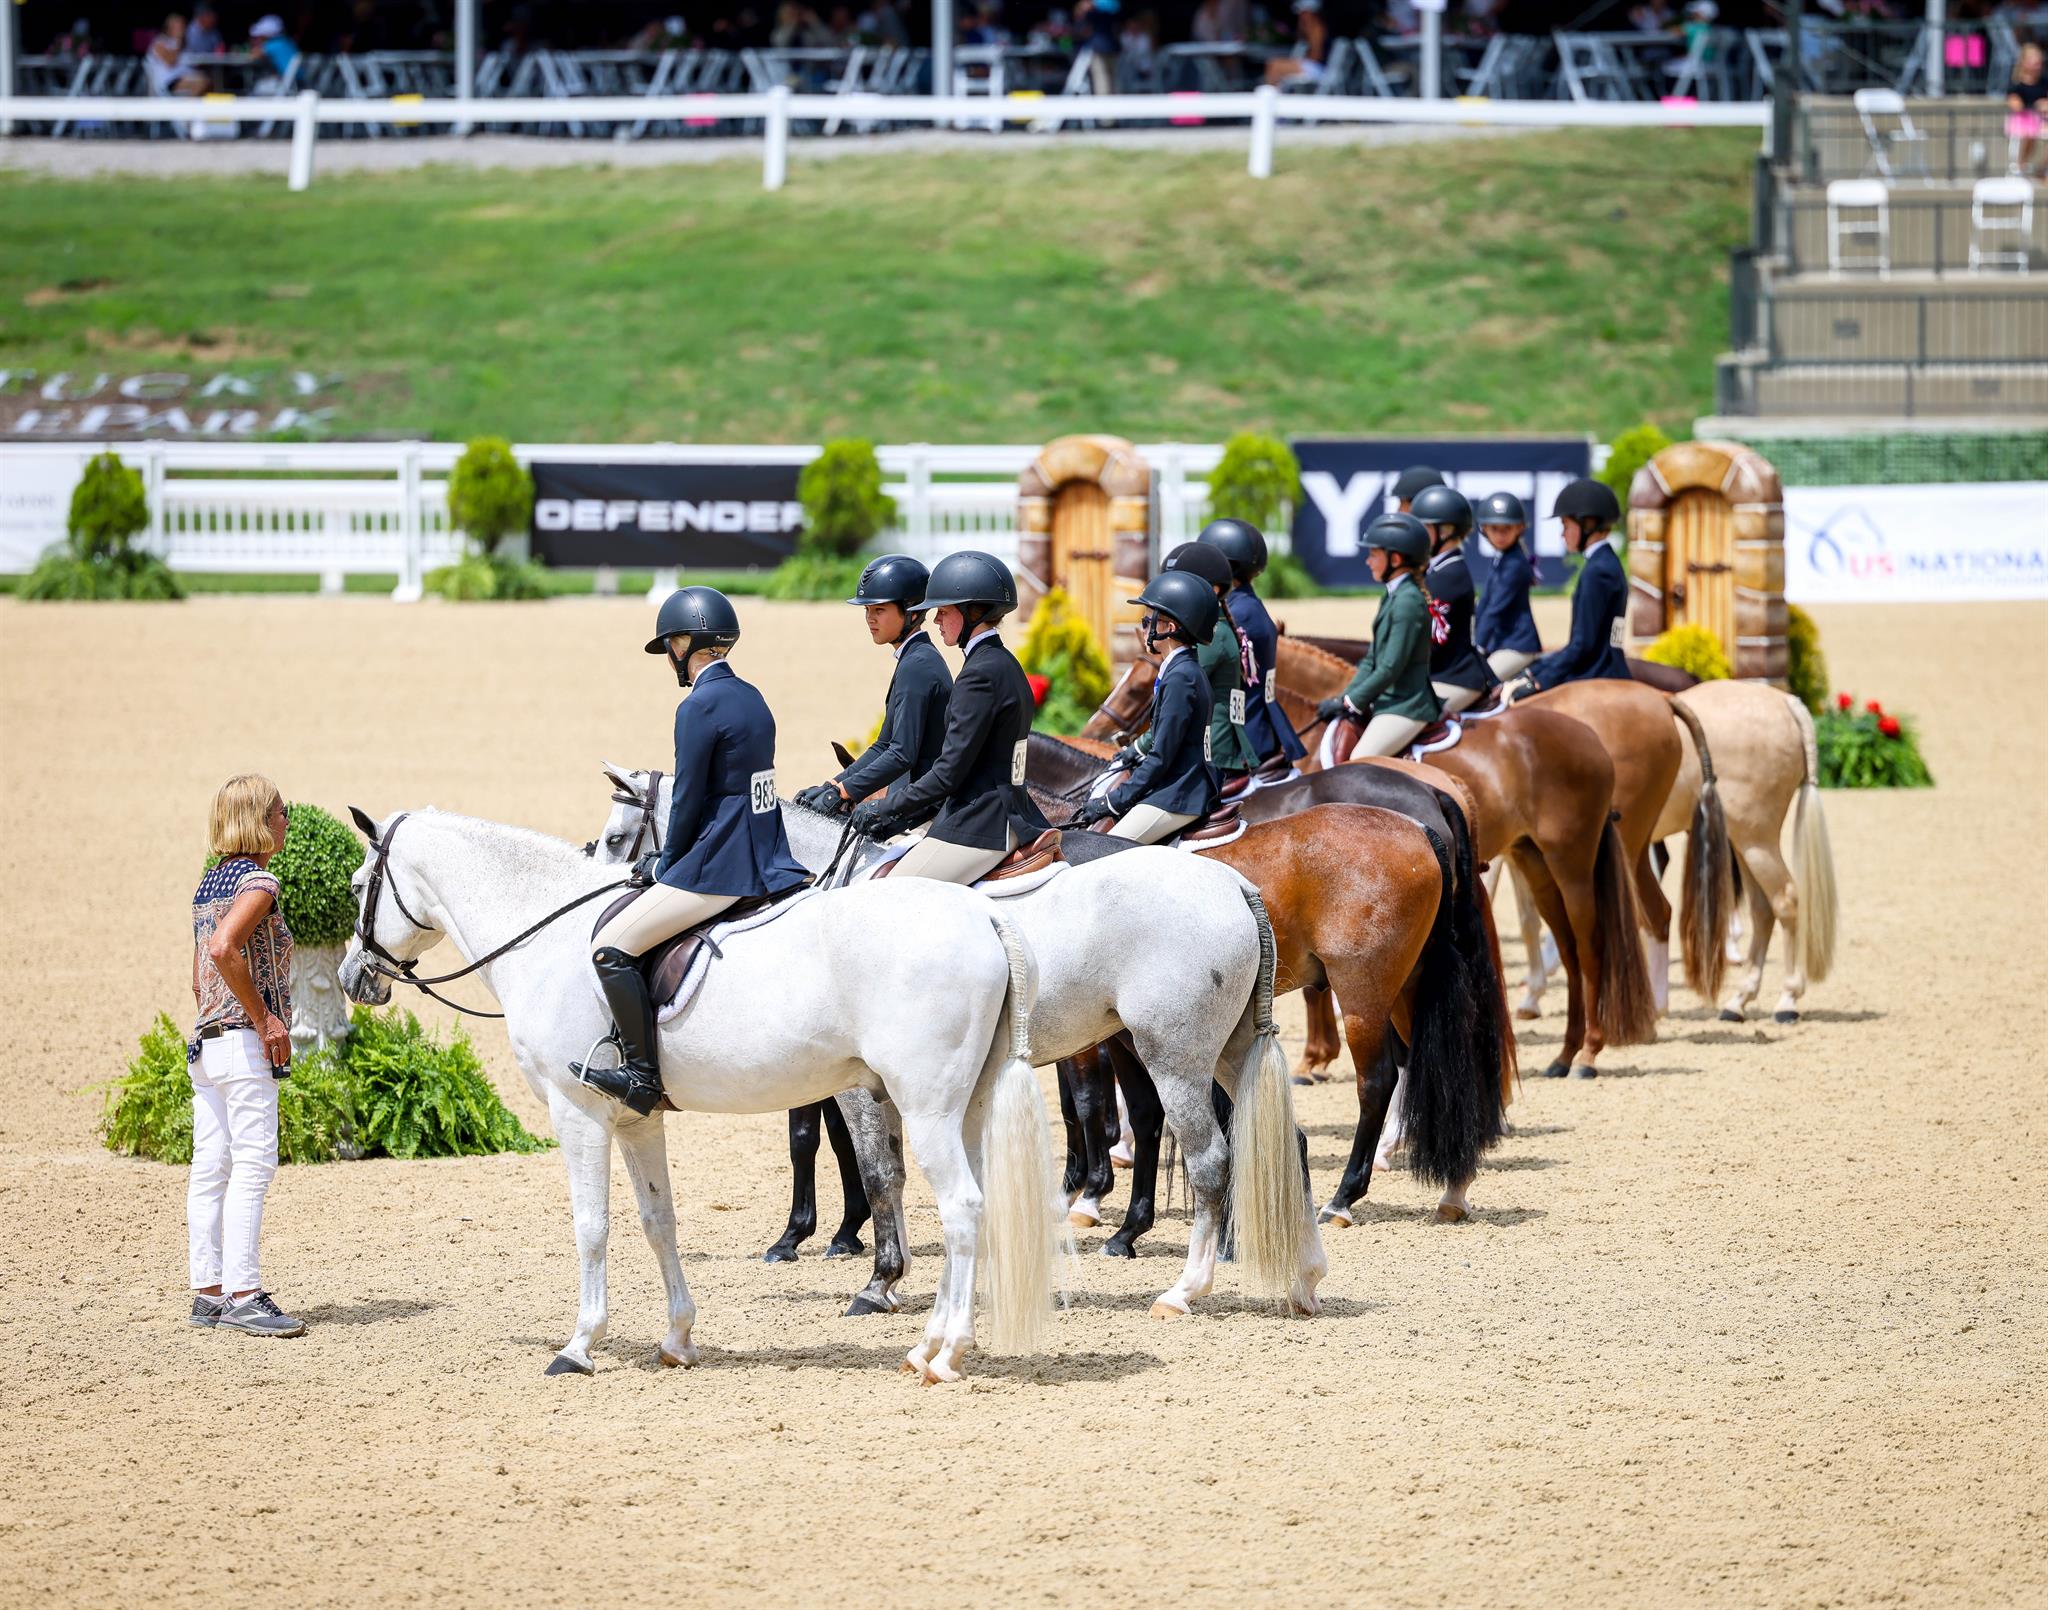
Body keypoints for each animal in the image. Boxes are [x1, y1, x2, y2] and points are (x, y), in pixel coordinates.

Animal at [335, 805, 1063, 1385]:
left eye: (356, 886)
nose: (351, 978)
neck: (545, 938)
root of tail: (983, 913)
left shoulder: (578, 1114)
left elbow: (591, 1226)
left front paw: (578, 1345)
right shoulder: (635, 1119)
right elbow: (659, 1222)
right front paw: (677, 1339)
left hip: (926, 1106)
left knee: (963, 1209)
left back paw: (945, 1353)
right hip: (965, 1106)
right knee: (974, 1204)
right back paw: (927, 1345)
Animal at [590, 769, 1324, 1319]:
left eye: (617, 836)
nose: (621, 897)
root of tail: (1232, 882)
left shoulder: (851, 1078)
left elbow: (866, 1163)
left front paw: (869, 1274)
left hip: (1170, 1052)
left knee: (1209, 1156)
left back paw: (1185, 1284)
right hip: (1223, 1051)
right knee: (1280, 1138)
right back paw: (1302, 1278)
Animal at [1023, 734, 1508, 1226]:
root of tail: (1417, 823)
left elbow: (1085, 1100)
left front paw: (1087, 1191)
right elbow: (1080, 1101)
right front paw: (1078, 1185)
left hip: (1363, 994)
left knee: (1378, 1080)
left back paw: (1343, 1198)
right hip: (1410, 985)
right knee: (1437, 1064)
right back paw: (1452, 1188)